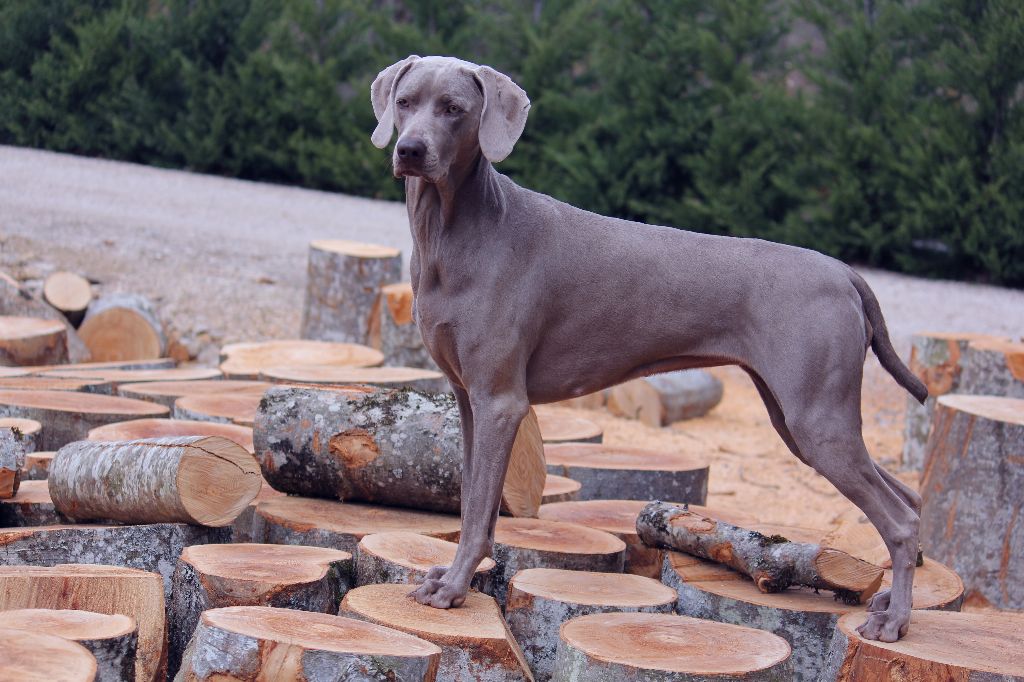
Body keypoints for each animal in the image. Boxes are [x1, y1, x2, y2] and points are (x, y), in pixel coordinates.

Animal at [370, 55, 927, 643]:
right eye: (404, 102)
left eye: (454, 109)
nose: (410, 150)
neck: (453, 229)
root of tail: (845, 274)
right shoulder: (469, 399)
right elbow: (472, 499)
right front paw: (452, 576)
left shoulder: (500, 401)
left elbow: (479, 510)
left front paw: (453, 589)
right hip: (800, 421)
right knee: (909, 499)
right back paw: (888, 601)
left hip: (817, 421)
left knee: (902, 518)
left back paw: (896, 621)